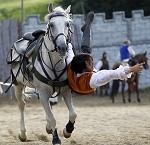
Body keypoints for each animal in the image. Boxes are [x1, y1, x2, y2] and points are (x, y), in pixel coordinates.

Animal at [7, 3, 77, 145]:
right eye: (51, 25)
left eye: (67, 23)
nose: (62, 47)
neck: (54, 64)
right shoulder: (43, 93)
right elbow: (52, 117)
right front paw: (56, 138)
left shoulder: (65, 90)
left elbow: (72, 114)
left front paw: (67, 130)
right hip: (18, 85)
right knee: (21, 105)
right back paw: (23, 134)